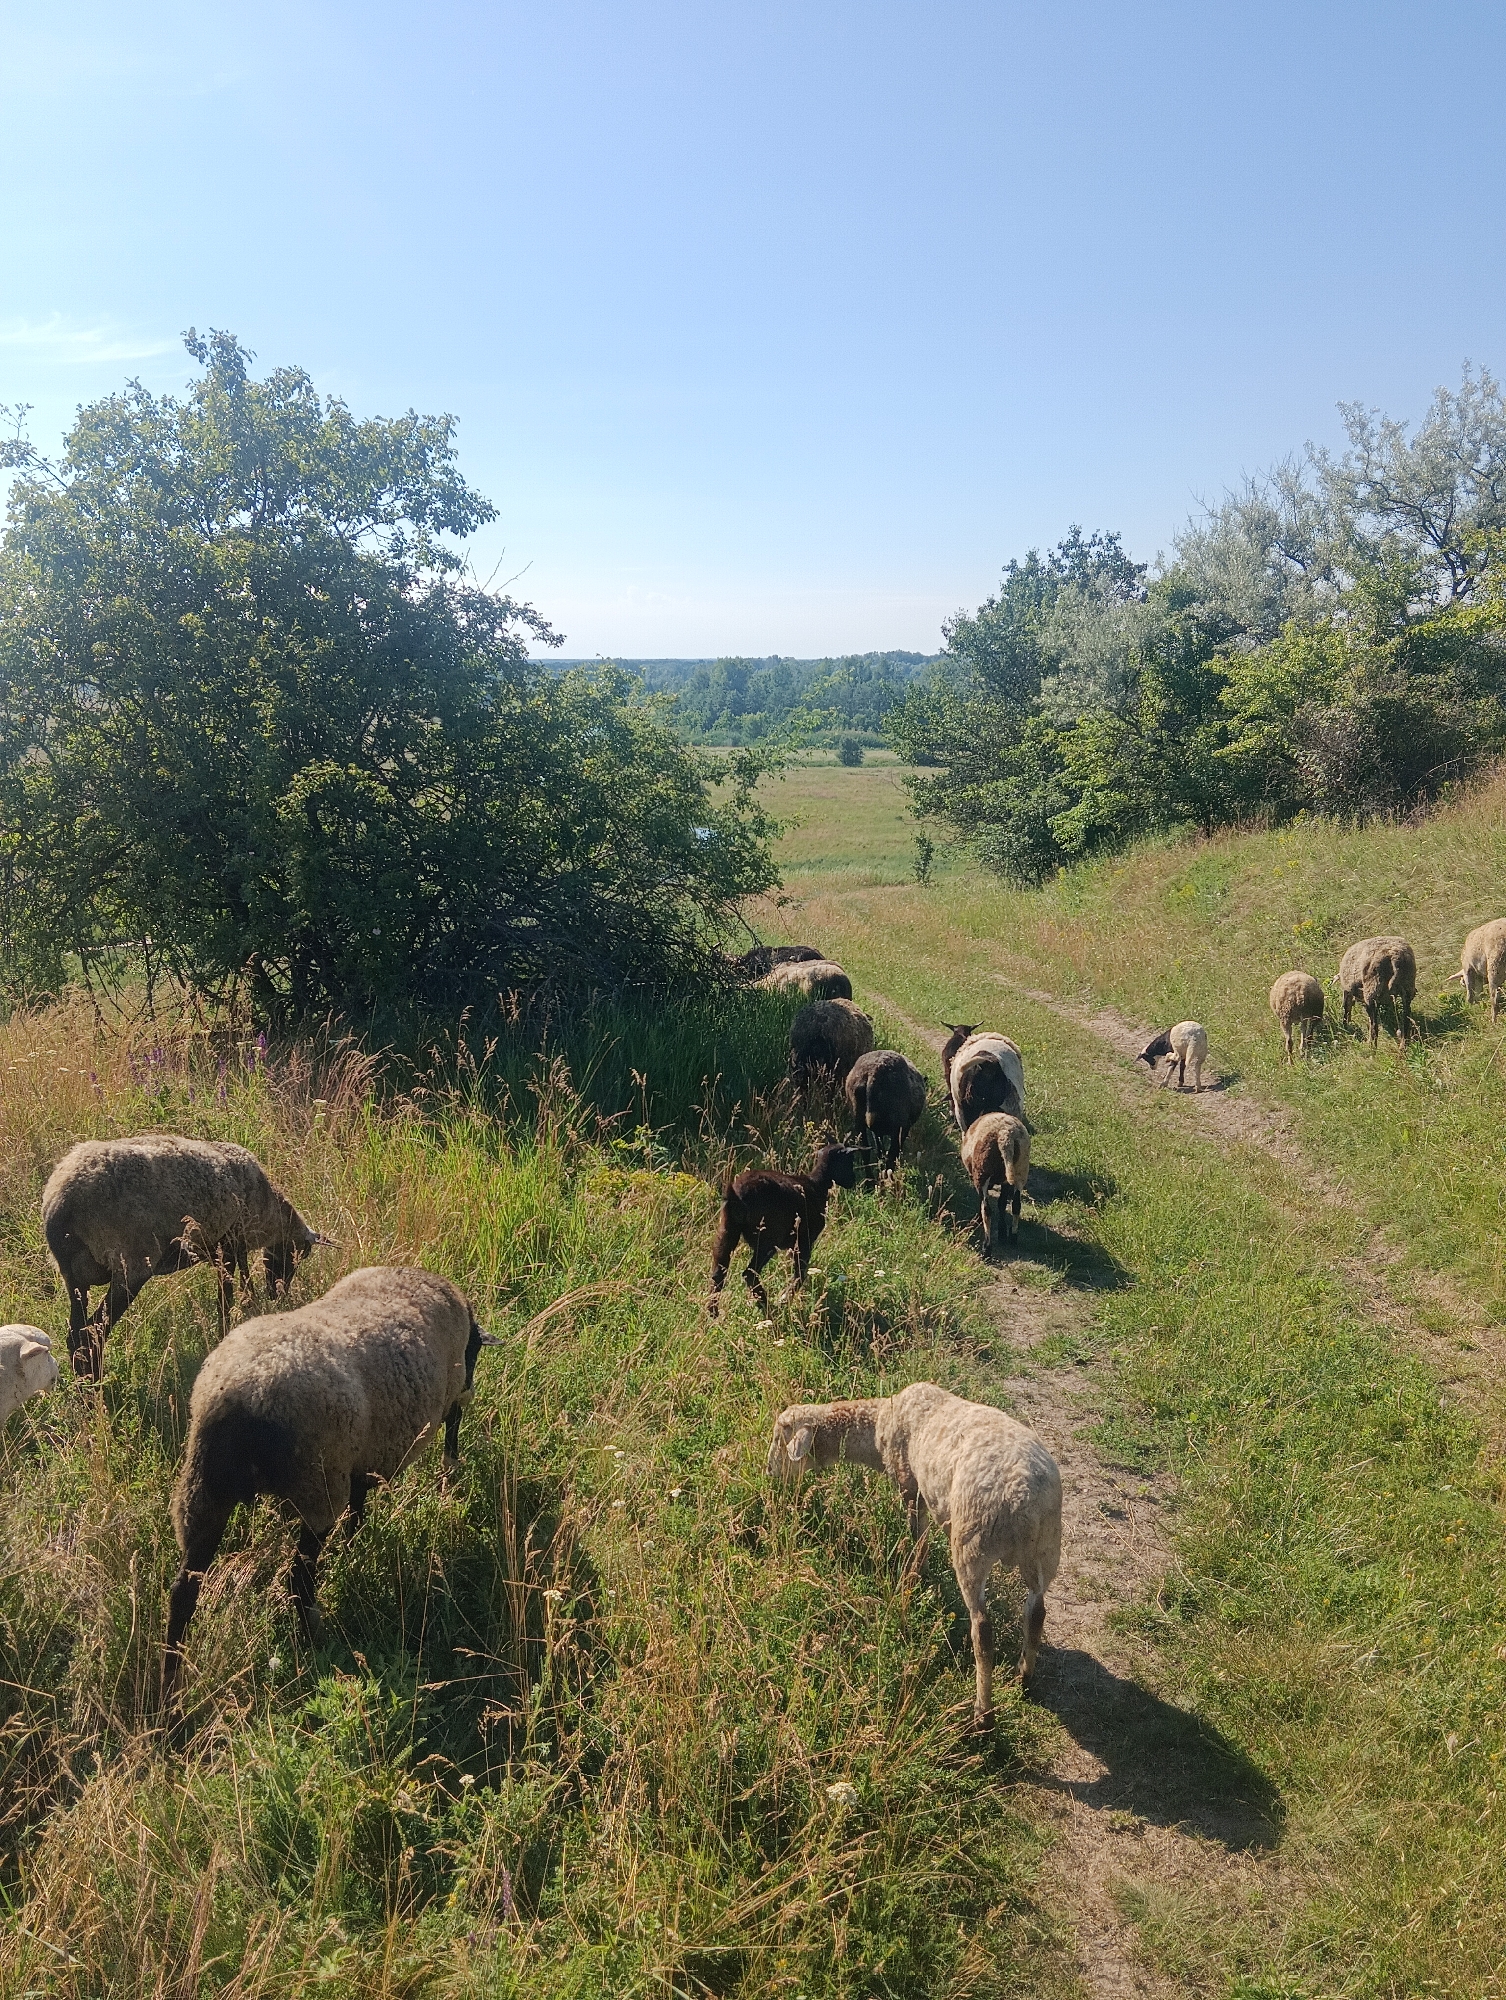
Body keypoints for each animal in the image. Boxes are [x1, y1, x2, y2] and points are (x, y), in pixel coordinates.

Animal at [42, 1134, 328, 1380]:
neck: (267, 1209)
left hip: (73, 1276)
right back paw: (95, 1389)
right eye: (296, 1256)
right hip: (130, 1264)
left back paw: (87, 1388)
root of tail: (60, 1202)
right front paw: (225, 1331)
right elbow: (226, 1296)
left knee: (75, 1335)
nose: (277, 1294)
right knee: (91, 1333)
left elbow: (242, 1280)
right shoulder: (229, 1242)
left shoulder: (222, 1246)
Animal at [162, 1265, 499, 1705]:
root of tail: (242, 1396)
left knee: (183, 1592)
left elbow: (360, 1502)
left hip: (203, 1491)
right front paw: (450, 1472)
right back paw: (314, 1642)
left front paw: (353, 1543)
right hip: (315, 1488)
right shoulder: (444, 1400)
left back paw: (168, 1691)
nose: (472, 1384)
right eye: (474, 1355)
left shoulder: (364, 1458)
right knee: (298, 1581)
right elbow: (451, 1431)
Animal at [708, 1144, 859, 1316]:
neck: (817, 1184)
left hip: (727, 1231)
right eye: (849, 1162)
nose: (853, 1179)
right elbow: (800, 1273)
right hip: (767, 1239)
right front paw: (785, 1298)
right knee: (749, 1274)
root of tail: (737, 1194)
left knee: (718, 1273)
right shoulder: (804, 1240)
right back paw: (769, 1309)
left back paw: (713, 1312)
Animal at [767, 1383, 1061, 1728]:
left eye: (780, 1438)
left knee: (982, 1630)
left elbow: (917, 1537)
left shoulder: (910, 1484)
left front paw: (913, 1576)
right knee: (1036, 1611)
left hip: (972, 1543)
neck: (877, 1423)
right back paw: (1023, 1676)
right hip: (1046, 1549)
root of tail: (1024, 1498)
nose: (769, 1472)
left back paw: (982, 1714)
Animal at [959, 1112, 1030, 1253]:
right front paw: (1002, 1231)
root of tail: (1005, 1136)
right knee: (1016, 1205)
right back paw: (1013, 1237)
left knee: (987, 1209)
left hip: (982, 1173)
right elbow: (1002, 1203)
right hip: (1021, 1171)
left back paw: (986, 1248)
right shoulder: (1005, 1182)